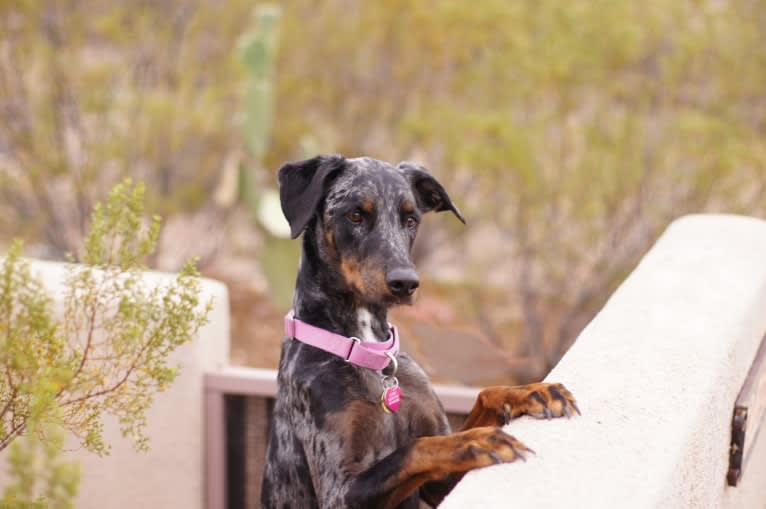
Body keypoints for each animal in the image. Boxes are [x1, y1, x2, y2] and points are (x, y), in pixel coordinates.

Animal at [260, 155, 580, 508]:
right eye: (355, 215)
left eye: (410, 219)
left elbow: (483, 396)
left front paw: (529, 392)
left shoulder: (439, 484)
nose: (406, 283)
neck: (366, 350)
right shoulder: (340, 491)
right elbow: (416, 448)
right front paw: (478, 440)